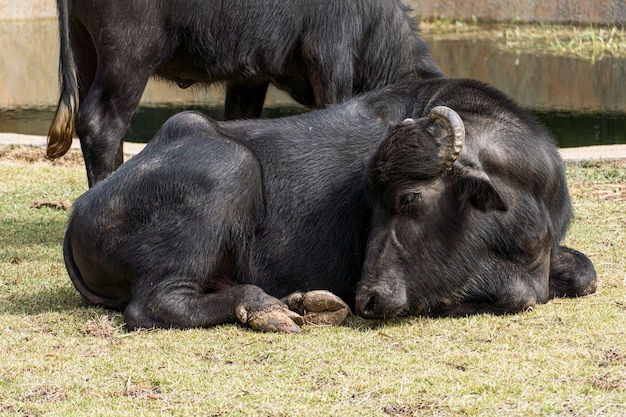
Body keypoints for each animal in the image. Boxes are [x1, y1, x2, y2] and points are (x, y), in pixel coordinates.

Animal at [46, 0, 442, 187]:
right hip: (129, 57)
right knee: (102, 124)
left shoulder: (250, 77)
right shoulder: (331, 63)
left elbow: (239, 122)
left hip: (86, 51)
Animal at [63, 78, 596, 332]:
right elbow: (515, 294)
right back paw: (271, 308)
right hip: (227, 166)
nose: (367, 298)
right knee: (155, 303)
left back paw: (305, 303)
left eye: (408, 198)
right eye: (371, 204)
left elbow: (585, 273)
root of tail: (78, 213)